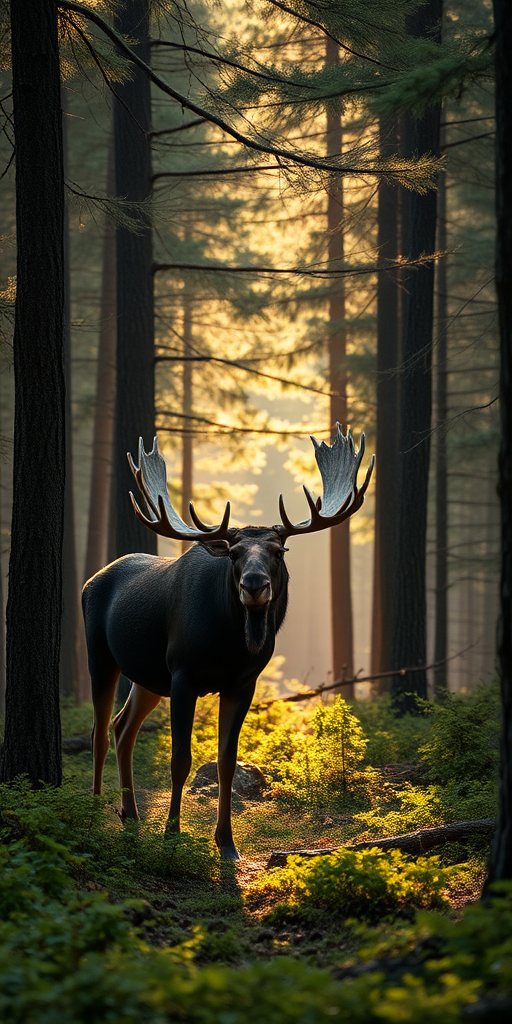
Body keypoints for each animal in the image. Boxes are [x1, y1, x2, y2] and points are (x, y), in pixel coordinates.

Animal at [82, 425, 374, 859]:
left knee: (122, 727)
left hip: (148, 678)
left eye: (279, 549)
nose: (254, 585)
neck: (230, 646)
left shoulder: (242, 683)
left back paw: (130, 815)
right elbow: (180, 759)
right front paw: (172, 834)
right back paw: (94, 814)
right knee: (99, 732)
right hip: (101, 656)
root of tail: (90, 582)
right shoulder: (183, 674)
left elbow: (226, 761)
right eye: (234, 553)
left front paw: (226, 843)